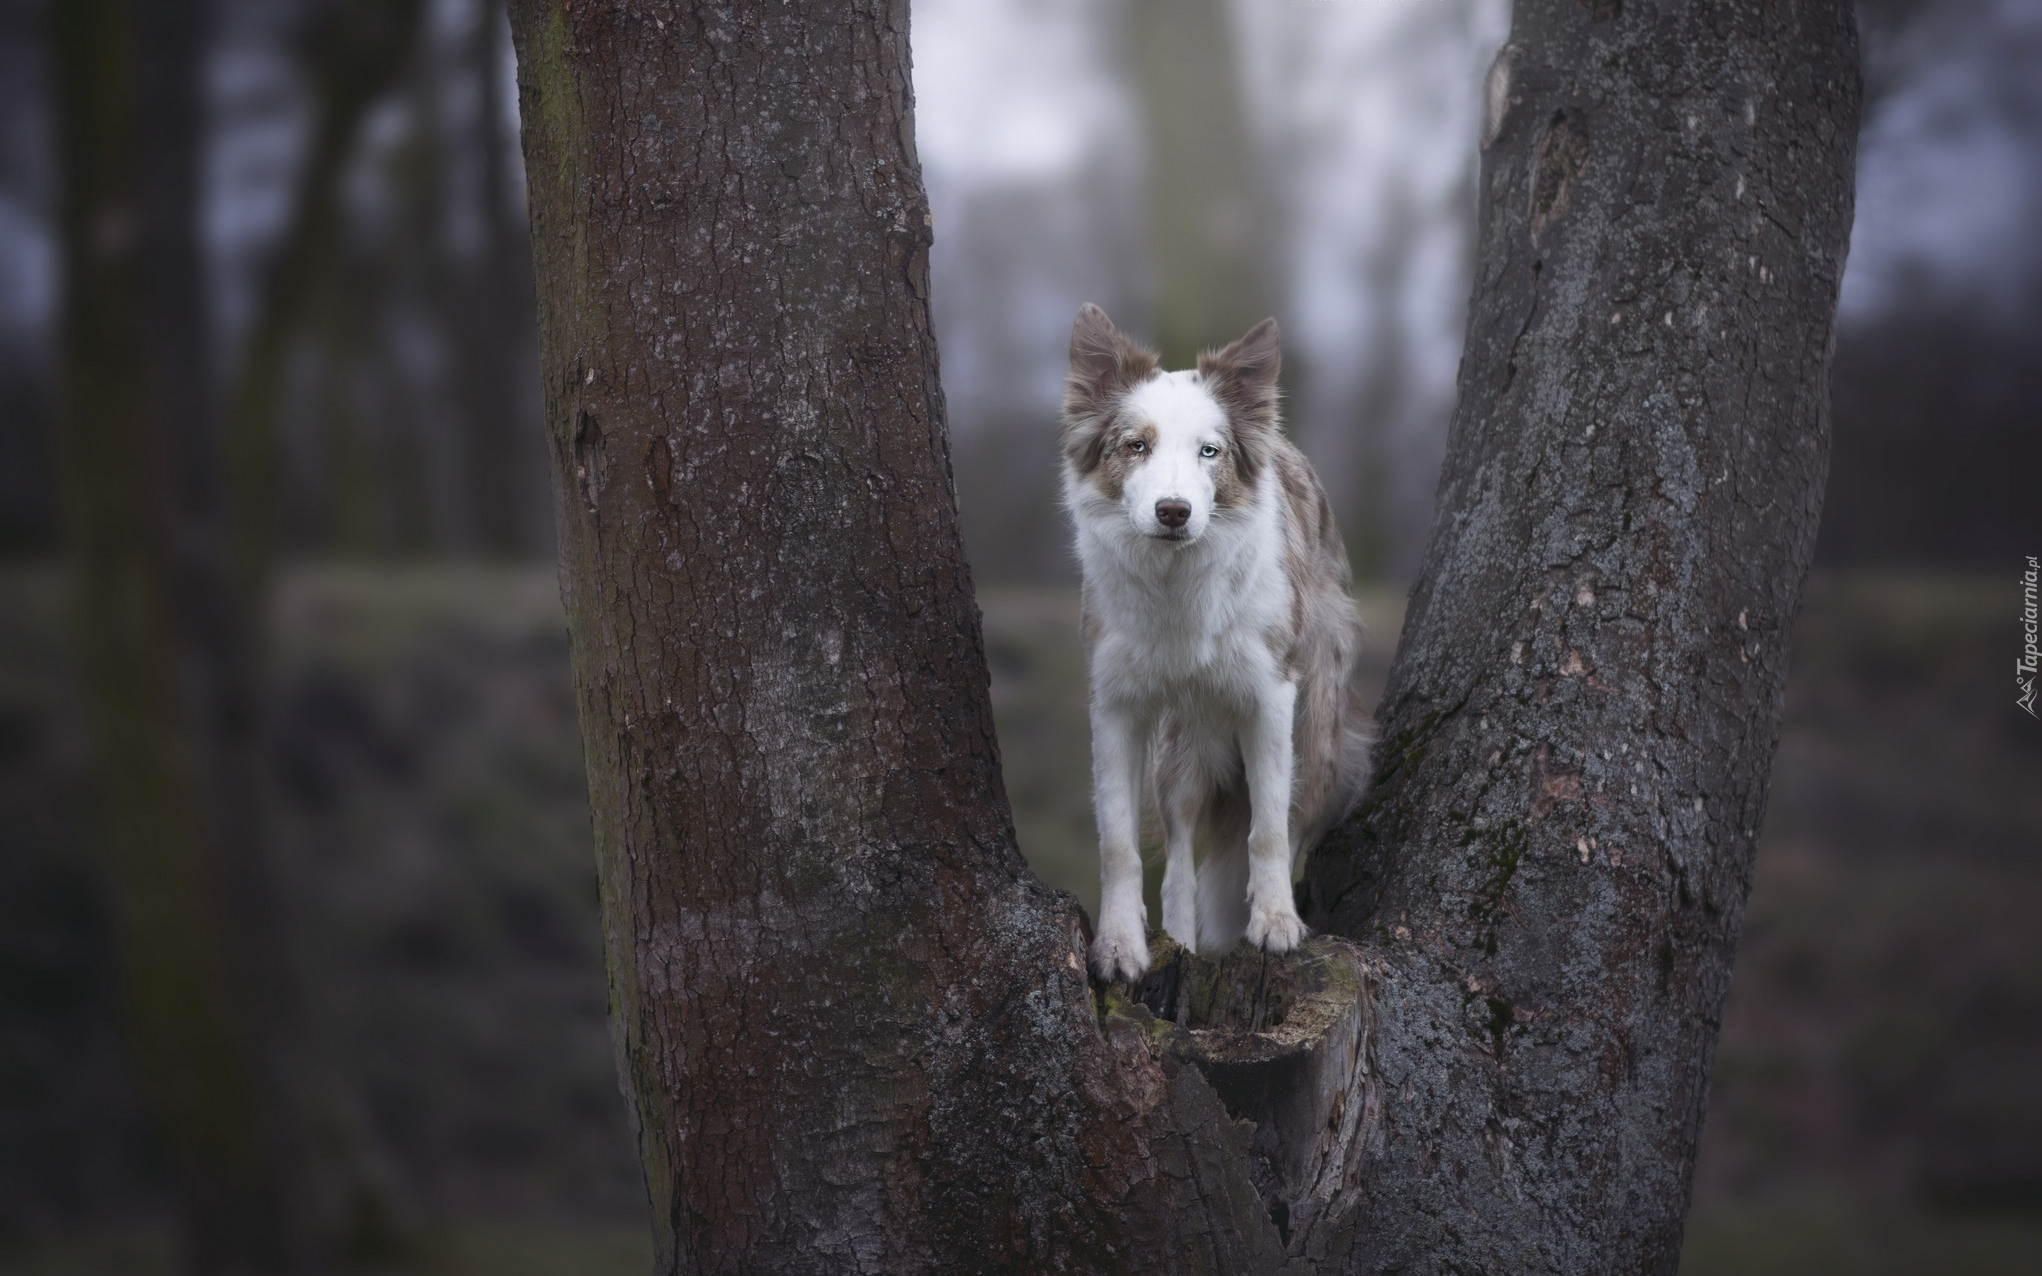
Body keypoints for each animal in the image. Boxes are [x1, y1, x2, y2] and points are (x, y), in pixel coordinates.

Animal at [1053, 304, 1372, 979]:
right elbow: (1118, 843)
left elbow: (1268, 828)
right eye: (1136, 446)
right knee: (1179, 860)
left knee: (1288, 815)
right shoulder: (1115, 705)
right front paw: (1118, 945)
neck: (1177, 585)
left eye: (1210, 451)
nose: (1173, 511)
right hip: (1181, 750)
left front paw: (1276, 923)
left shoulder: (1271, 698)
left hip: (1318, 727)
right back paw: (1181, 939)